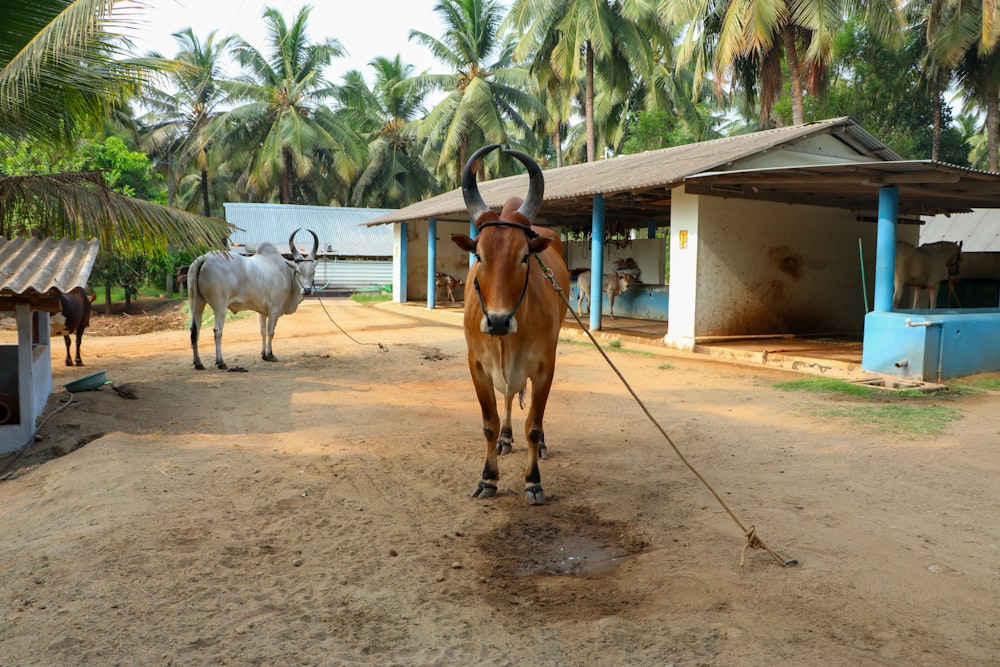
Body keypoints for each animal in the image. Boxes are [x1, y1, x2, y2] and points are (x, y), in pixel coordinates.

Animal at [185, 231, 316, 370]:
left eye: (313, 272)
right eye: (298, 271)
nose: (307, 290)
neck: (286, 272)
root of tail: (204, 258)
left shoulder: (262, 312)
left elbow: (262, 331)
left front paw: (264, 354)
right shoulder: (274, 310)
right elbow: (270, 332)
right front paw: (270, 355)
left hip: (196, 302)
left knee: (195, 330)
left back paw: (198, 363)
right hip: (219, 306)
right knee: (217, 331)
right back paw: (220, 362)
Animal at [448, 144, 568, 504]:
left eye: (524, 256)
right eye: (479, 256)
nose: (498, 321)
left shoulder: (545, 366)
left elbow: (534, 425)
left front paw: (533, 482)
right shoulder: (477, 365)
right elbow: (489, 422)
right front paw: (488, 478)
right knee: (507, 399)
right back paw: (505, 438)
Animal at [532, 254, 796, 568]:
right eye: (624, 277)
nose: (631, 284)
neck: (617, 284)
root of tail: (582, 273)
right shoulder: (608, 293)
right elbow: (609, 305)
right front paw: (610, 318)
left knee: (582, 300)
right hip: (582, 294)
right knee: (583, 300)